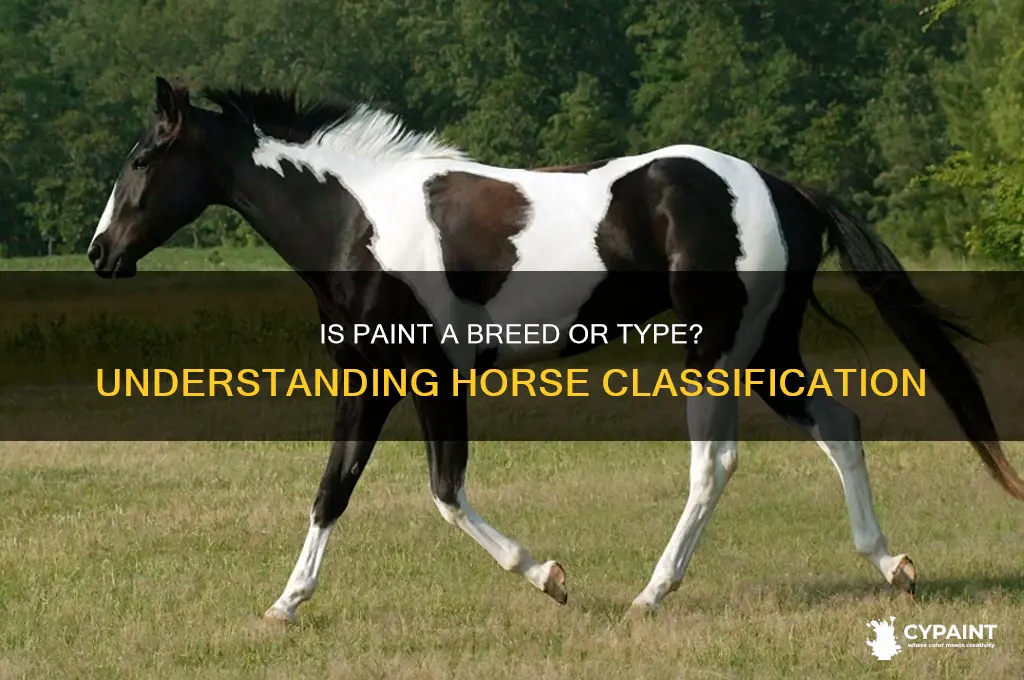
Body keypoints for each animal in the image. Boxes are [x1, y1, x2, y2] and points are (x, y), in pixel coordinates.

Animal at [87, 76, 1024, 624]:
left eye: (143, 157)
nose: (100, 254)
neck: (359, 221)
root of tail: (780, 187)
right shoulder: (376, 375)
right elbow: (337, 487)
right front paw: (286, 603)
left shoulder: (429, 375)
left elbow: (439, 491)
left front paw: (550, 577)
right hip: (769, 350)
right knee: (840, 425)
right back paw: (893, 565)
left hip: (716, 350)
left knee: (715, 463)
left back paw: (652, 593)